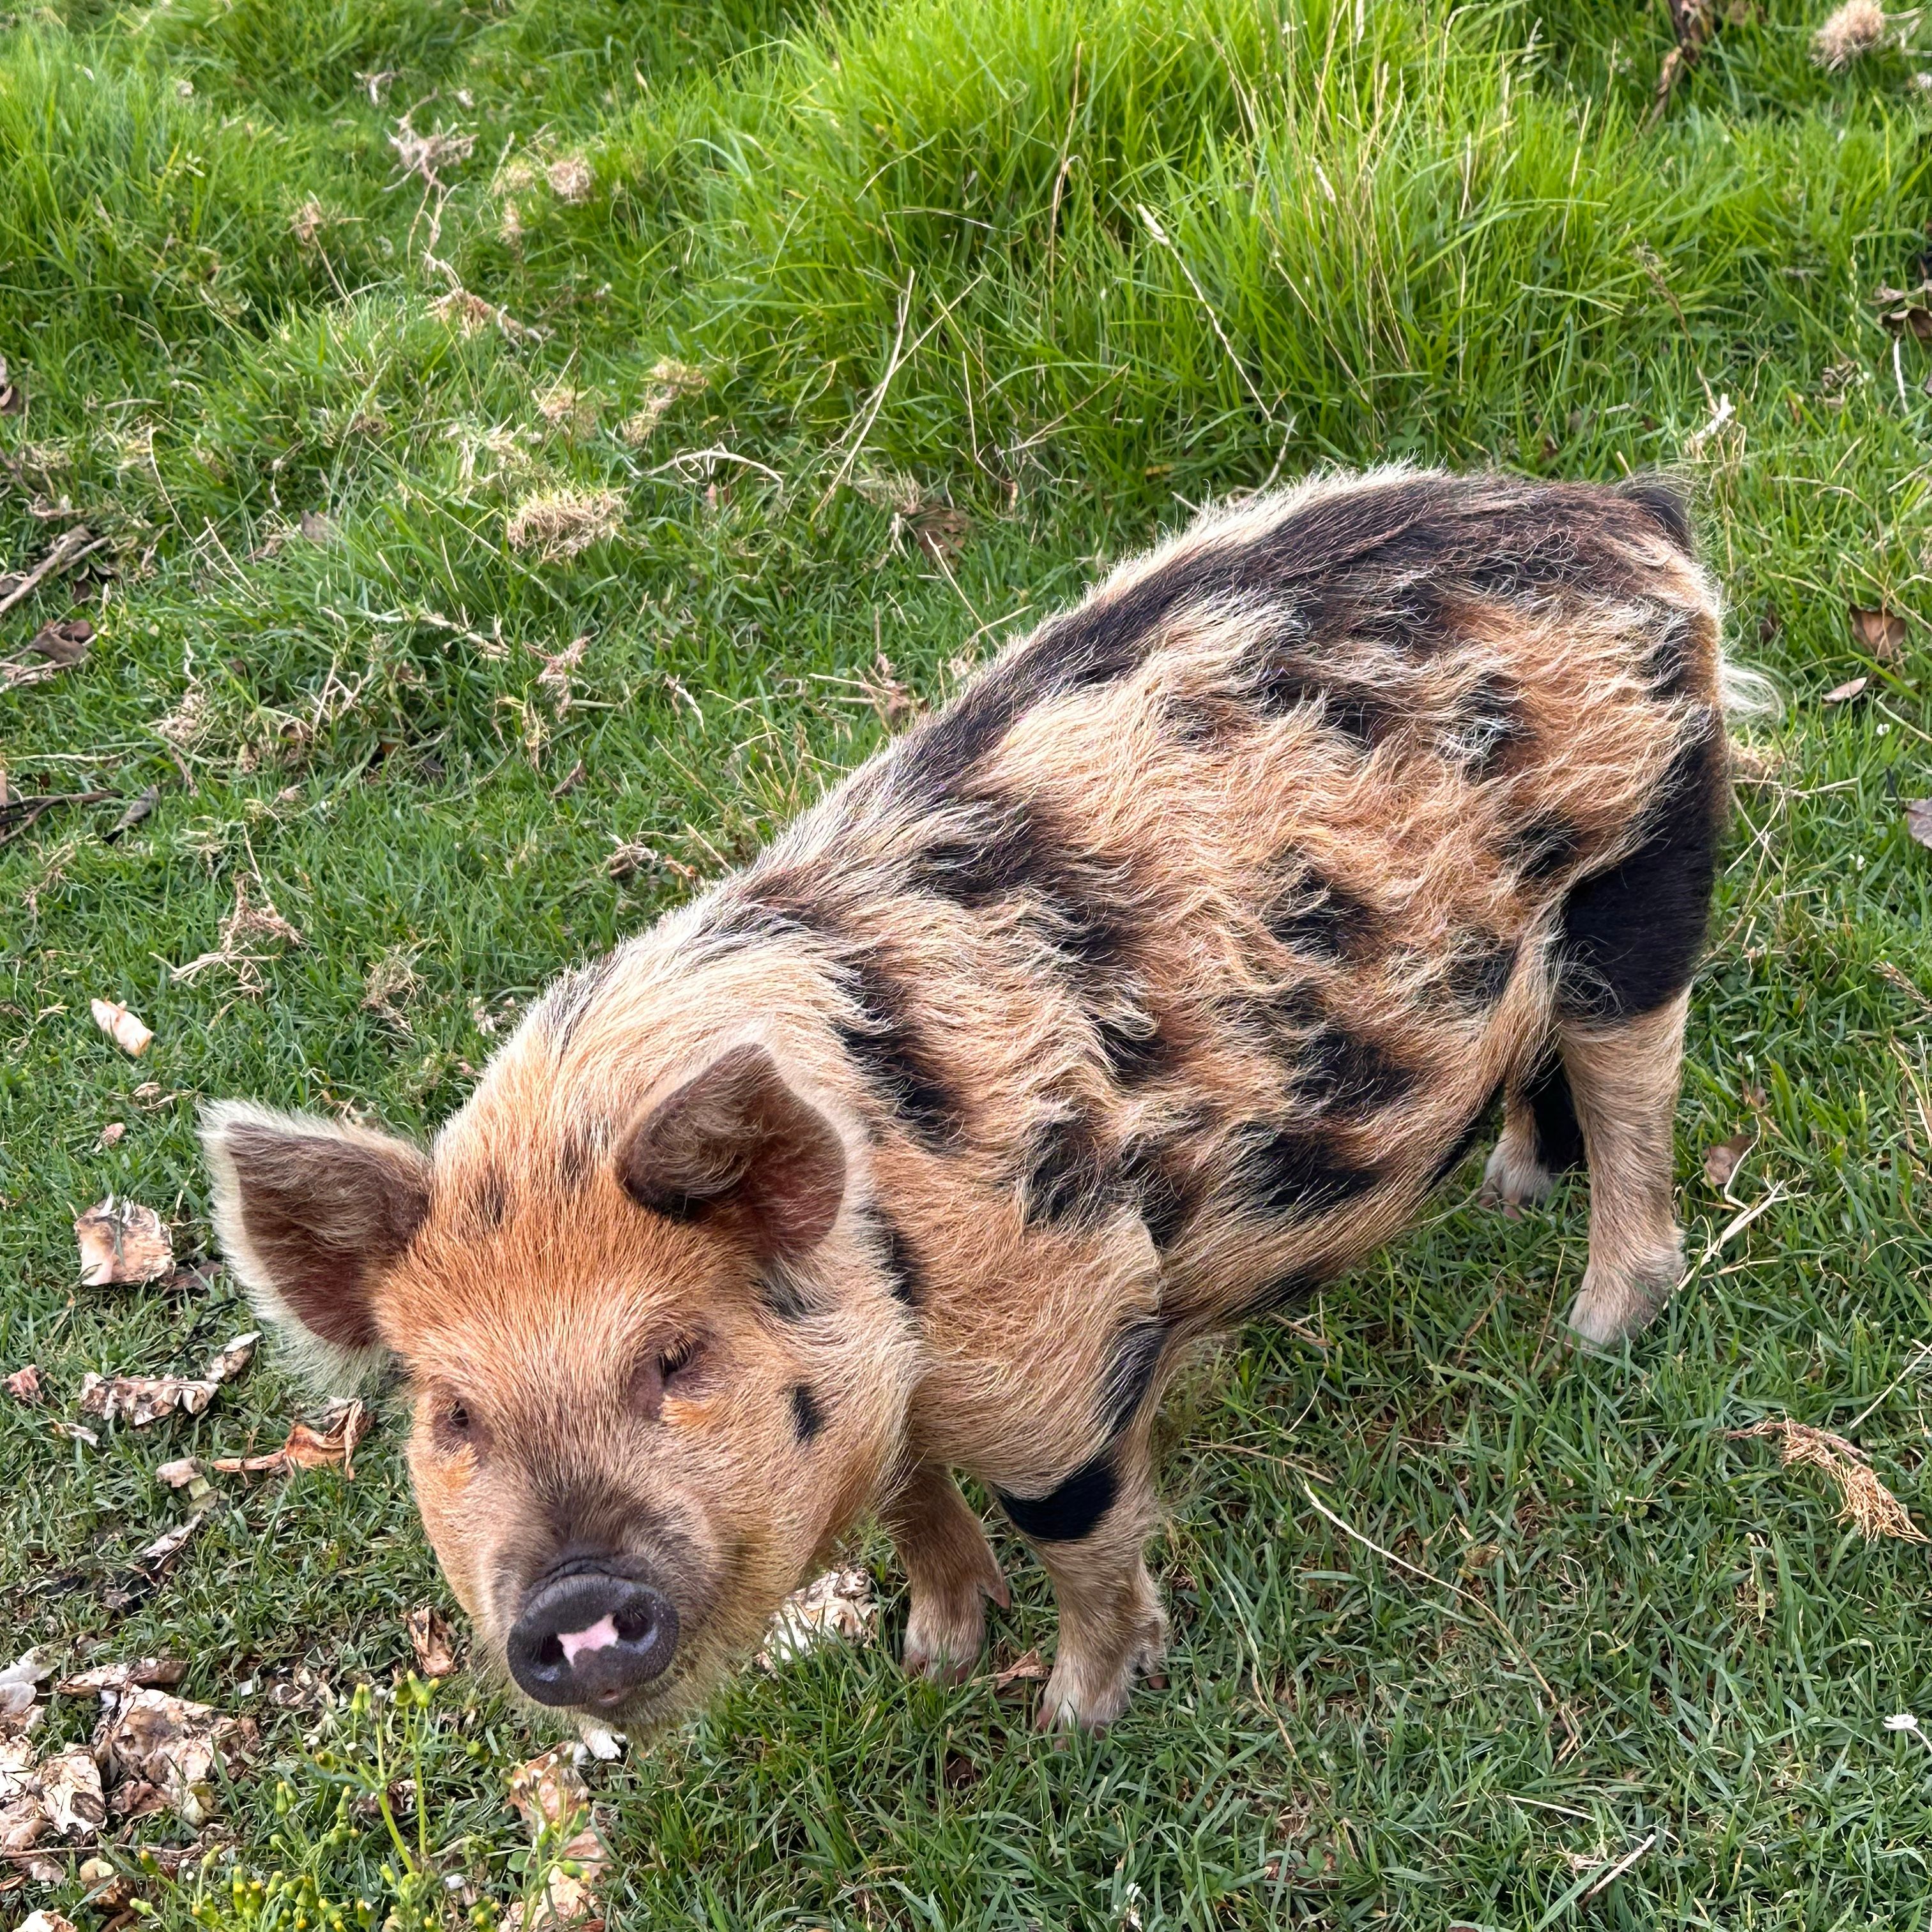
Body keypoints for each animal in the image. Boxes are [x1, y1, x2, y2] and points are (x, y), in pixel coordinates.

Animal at [201, 466, 1760, 1736]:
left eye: (676, 1355)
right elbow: (910, 1503)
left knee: (1630, 1072)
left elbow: (1069, 1521)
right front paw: (932, 1657)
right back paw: (1507, 1194)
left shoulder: (1054, 1336)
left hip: (1645, 856)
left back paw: (1599, 1325)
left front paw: (1078, 1713)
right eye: (455, 1415)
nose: (574, 1611)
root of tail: (1624, 518)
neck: (885, 1254)